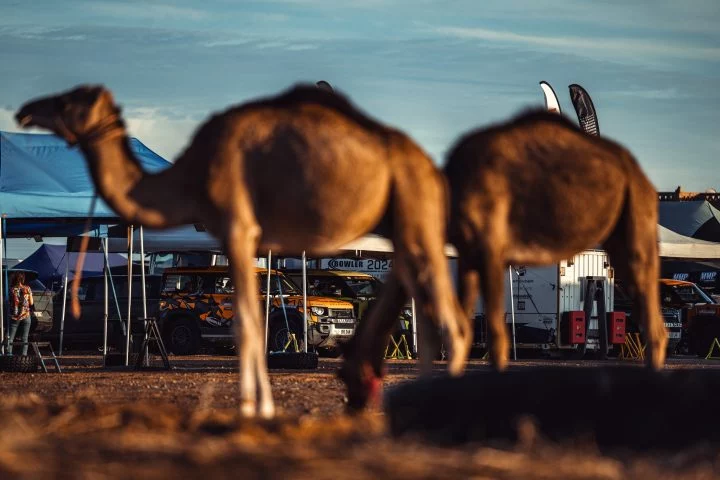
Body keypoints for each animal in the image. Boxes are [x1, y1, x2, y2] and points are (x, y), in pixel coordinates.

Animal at [16, 84, 472, 418]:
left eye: (67, 100)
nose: (24, 110)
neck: (191, 177)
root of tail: (431, 169)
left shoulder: (238, 229)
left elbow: (249, 324)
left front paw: (255, 407)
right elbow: (249, 322)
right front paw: (260, 405)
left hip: (416, 210)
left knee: (451, 321)